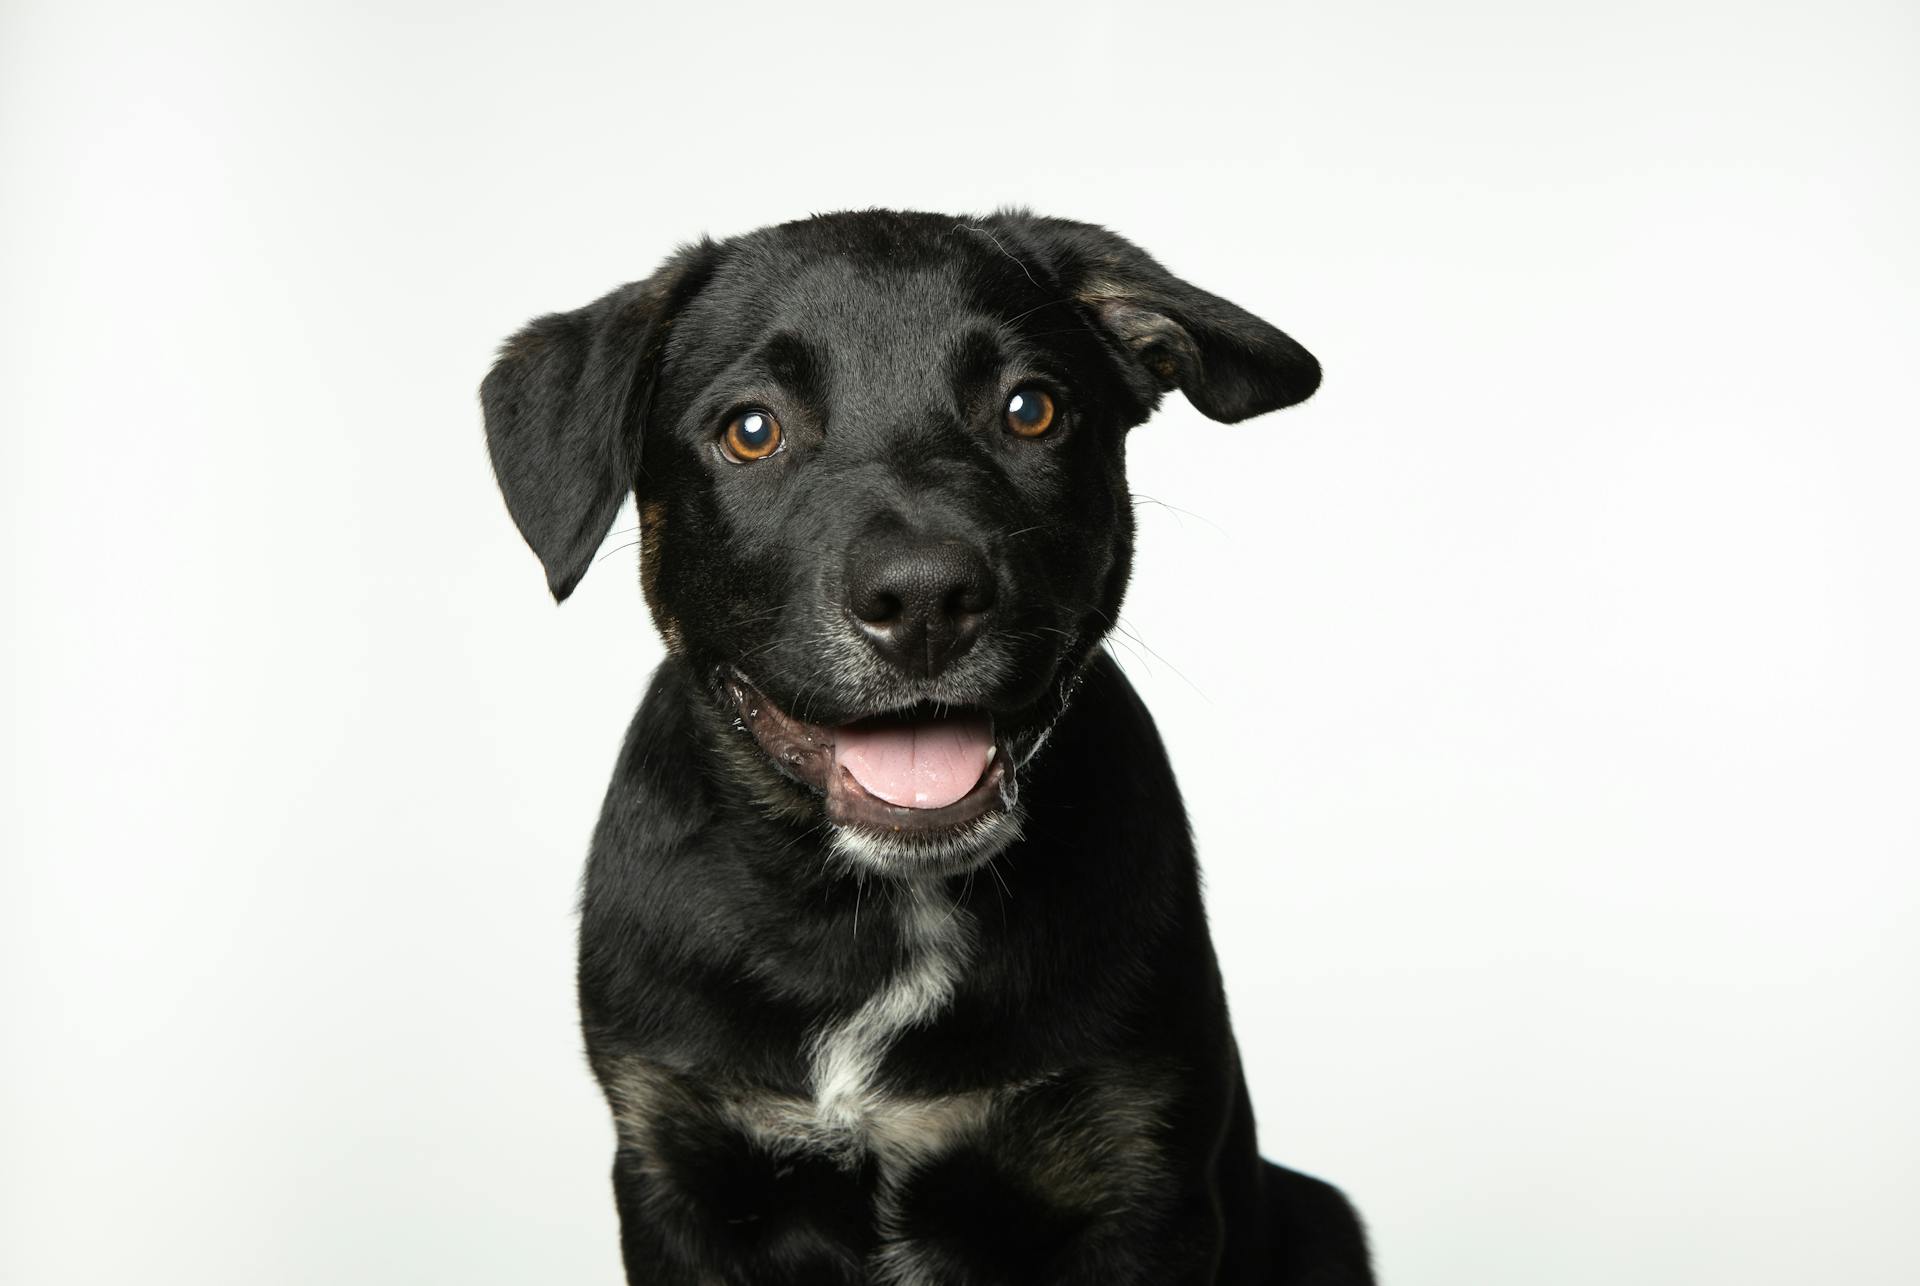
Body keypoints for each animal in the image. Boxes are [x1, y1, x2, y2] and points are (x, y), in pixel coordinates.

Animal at [487, 211, 1374, 1286]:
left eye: (1031, 409)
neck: (877, 916)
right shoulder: (674, 1170)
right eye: (751, 430)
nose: (923, 601)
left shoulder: (1136, 1177)